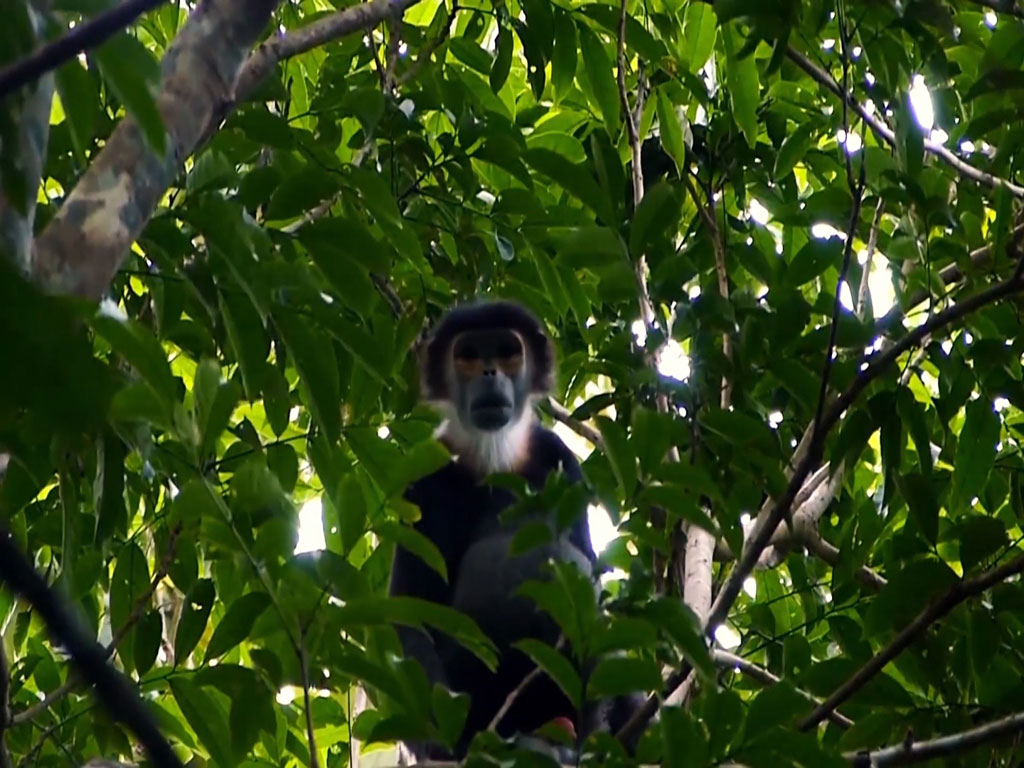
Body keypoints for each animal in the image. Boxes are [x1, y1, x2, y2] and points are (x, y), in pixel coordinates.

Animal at [385, 296, 638, 761]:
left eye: (507, 353)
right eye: (468, 357)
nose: (490, 373)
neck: (495, 457)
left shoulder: (558, 457)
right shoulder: (425, 477)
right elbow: (412, 615)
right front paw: (440, 744)